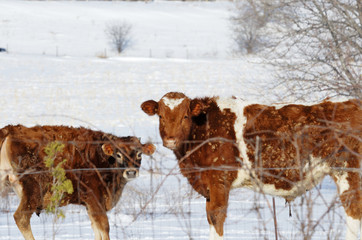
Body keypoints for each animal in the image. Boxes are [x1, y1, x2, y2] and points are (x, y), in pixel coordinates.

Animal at [0, 124, 154, 239]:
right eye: (118, 154)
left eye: (139, 153)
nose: (131, 172)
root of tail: (9, 131)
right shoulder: (94, 199)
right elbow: (104, 227)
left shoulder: (90, 205)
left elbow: (96, 228)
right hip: (33, 190)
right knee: (21, 217)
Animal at [141, 92, 362, 240]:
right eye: (160, 116)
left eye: (185, 116)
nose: (170, 140)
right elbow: (210, 218)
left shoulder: (219, 179)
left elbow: (216, 215)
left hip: (347, 171)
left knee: (353, 210)